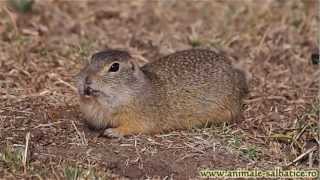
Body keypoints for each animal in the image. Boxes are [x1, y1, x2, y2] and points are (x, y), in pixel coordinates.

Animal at [75, 48, 248, 137]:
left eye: (114, 67)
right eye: (91, 59)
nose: (86, 80)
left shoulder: (140, 116)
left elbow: (133, 127)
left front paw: (112, 132)